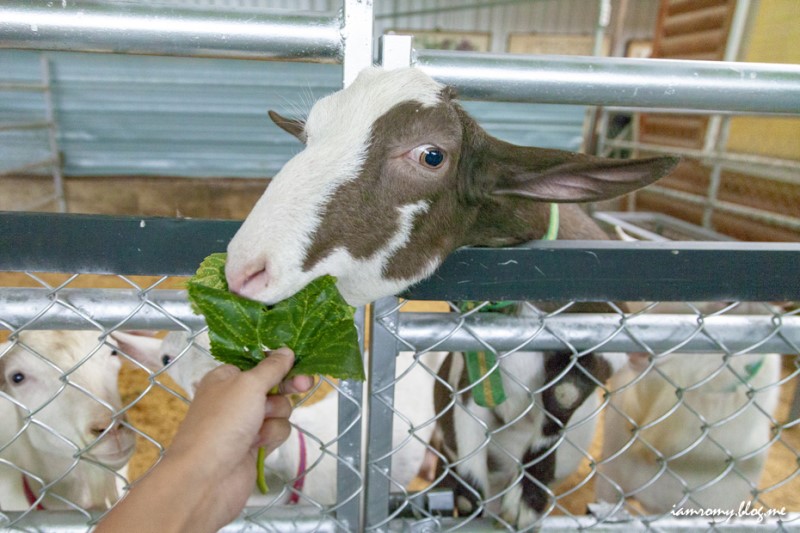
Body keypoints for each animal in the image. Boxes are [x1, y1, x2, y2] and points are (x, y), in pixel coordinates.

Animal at [222, 67, 680, 528]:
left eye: (432, 156)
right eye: (309, 136)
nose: (244, 272)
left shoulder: (611, 332)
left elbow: (565, 394)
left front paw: (527, 500)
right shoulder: (463, 376)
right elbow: (469, 476)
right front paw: (469, 502)